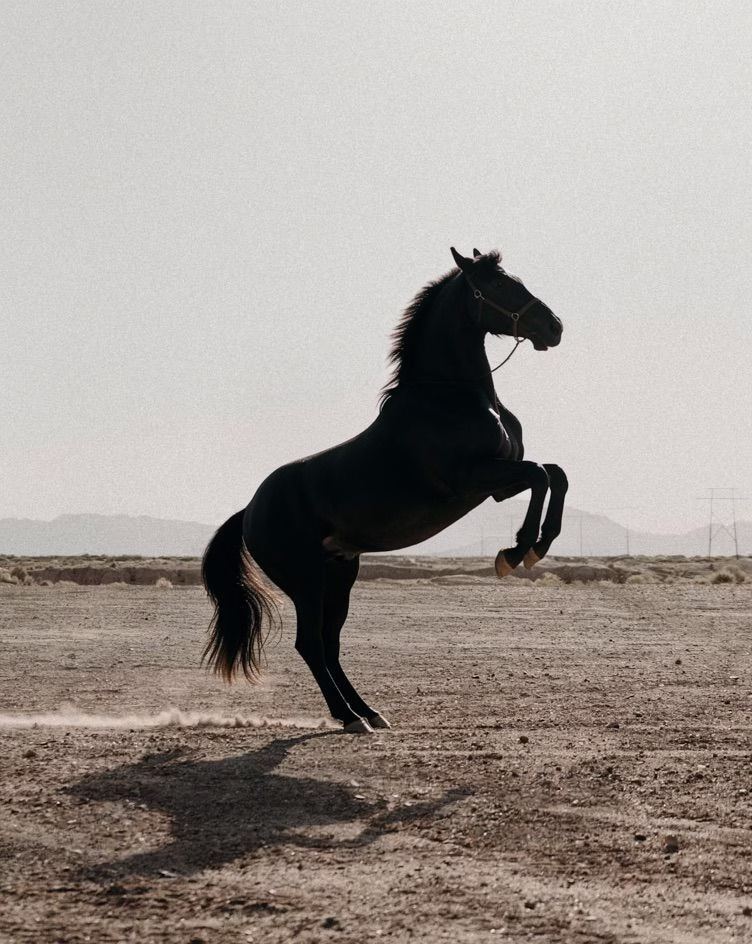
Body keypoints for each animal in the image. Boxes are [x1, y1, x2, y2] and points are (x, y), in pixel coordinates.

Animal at [202, 247, 567, 732]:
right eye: (497, 285)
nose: (554, 326)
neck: (453, 396)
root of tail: (249, 511)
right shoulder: (474, 478)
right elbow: (541, 476)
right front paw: (516, 552)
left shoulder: (499, 482)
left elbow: (554, 474)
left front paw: (538, 545)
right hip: (305, 580)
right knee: (310, 643)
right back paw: (349, 717)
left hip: (341, 572)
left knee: (330, 643)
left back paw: (368, 712)